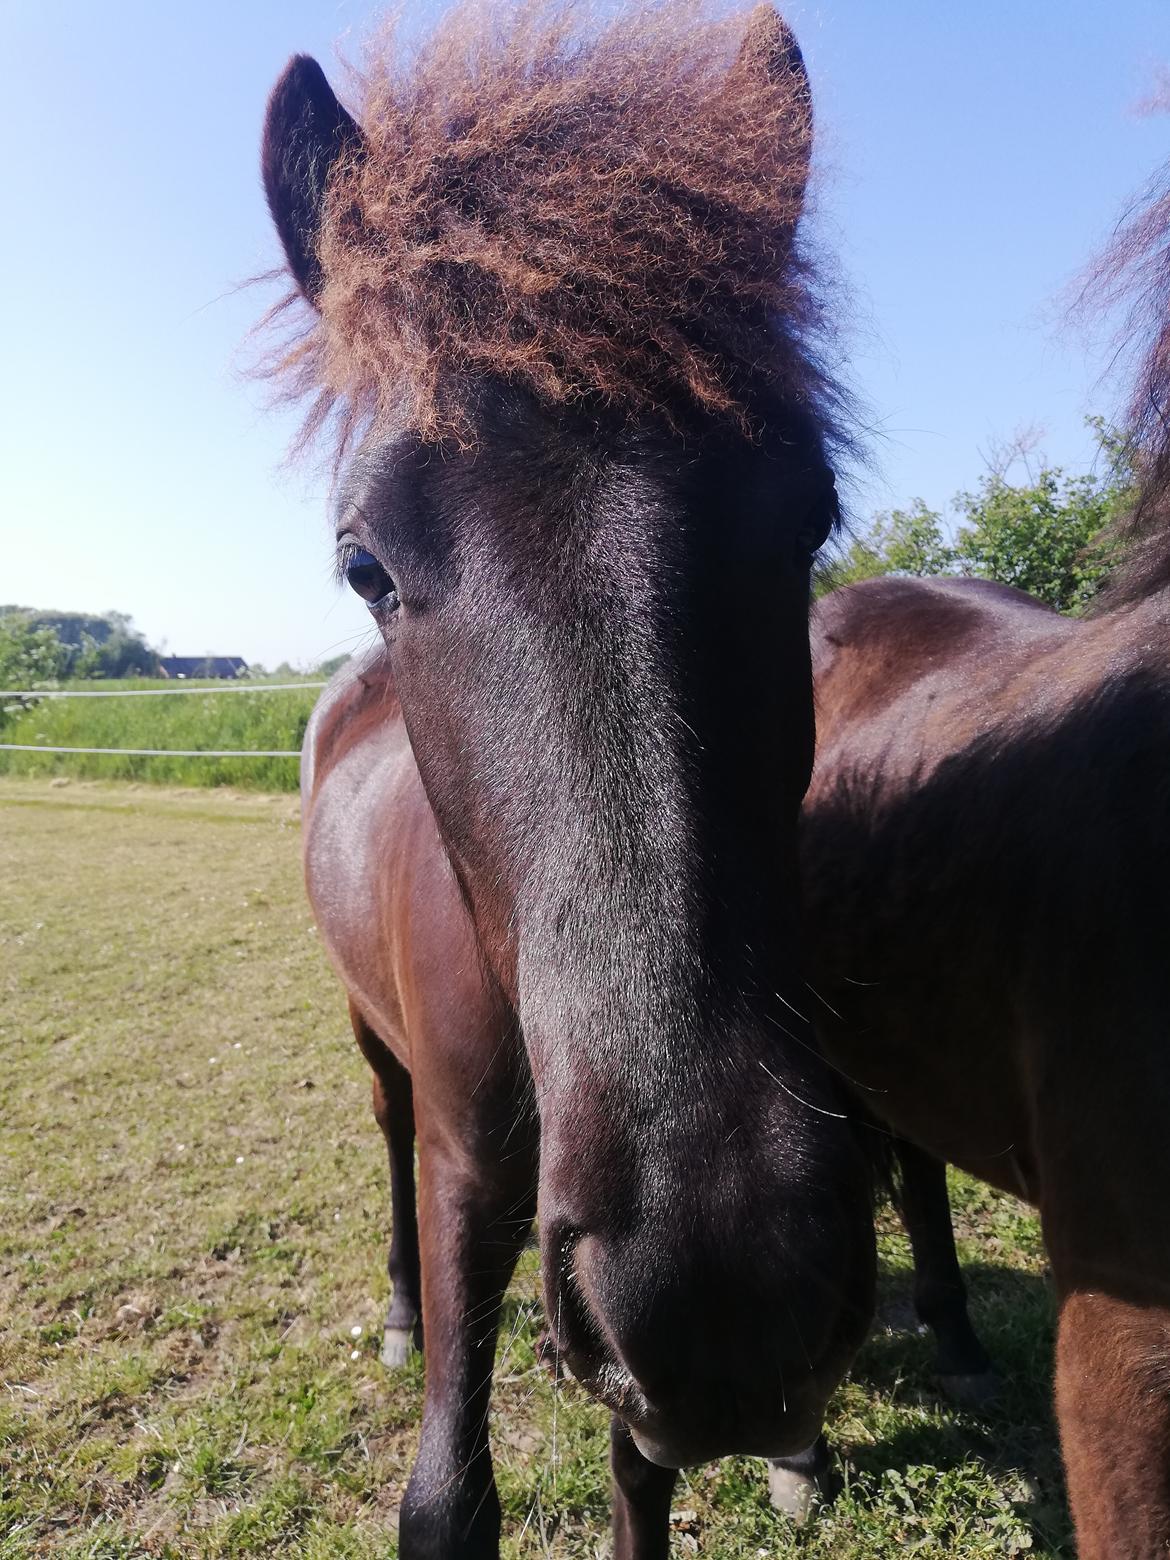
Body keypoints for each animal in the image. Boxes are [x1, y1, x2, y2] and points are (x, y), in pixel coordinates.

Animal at [258, 6, 879, 1553]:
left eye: (810, 511)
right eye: (364, 563)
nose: (723, 1283)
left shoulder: (616, 1331)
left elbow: (639, 1474)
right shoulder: (478, 1183)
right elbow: (445, 1500)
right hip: (377, 1059)